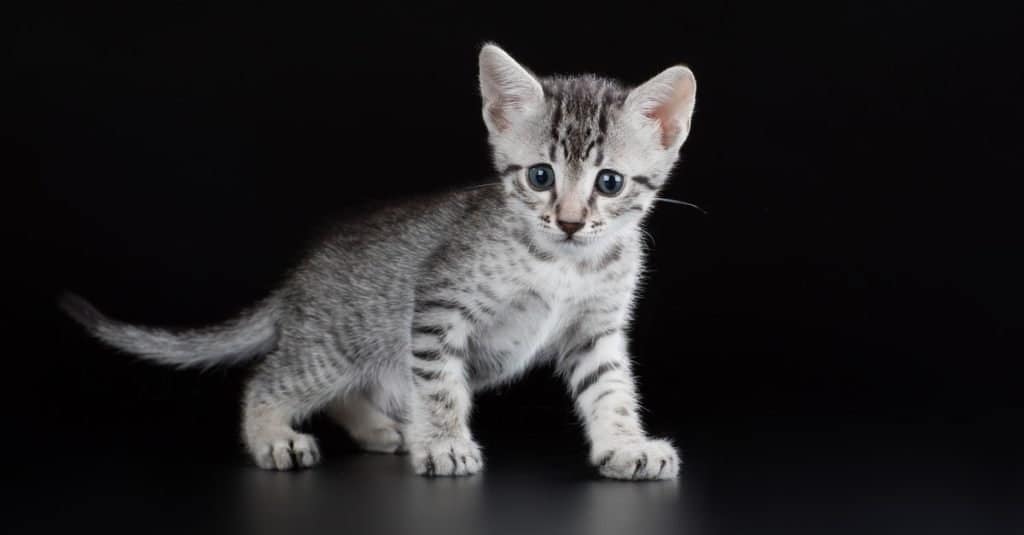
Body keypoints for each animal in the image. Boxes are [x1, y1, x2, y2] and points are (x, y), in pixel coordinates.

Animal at [61, 43, 696, 479]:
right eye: (541, 176)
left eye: (609, 183)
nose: (567, 220)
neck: (565, 262)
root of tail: (301, 277)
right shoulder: (438, 307)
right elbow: (440, 385)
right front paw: (443, 444)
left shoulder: (596, 328)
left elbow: (610, 389)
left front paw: (625, 446)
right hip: (338, 344)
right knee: (266, 379)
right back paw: (273, 436)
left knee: (350, 392)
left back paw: (379, 429)